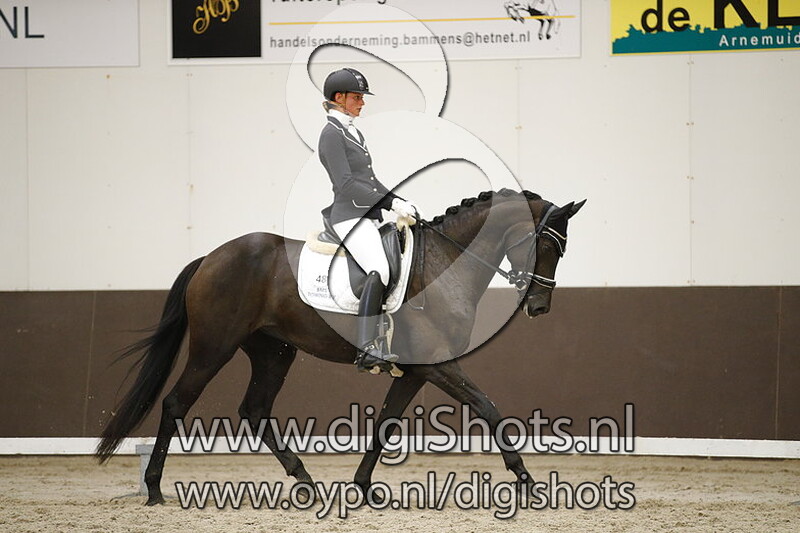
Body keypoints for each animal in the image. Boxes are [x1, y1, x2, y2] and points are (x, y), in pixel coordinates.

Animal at [95, 189, 585, 506]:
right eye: (546, 245)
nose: (539, 306)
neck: (444, 264)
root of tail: (209, 258)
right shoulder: (437, 365)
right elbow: (489, 408)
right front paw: (526, 481)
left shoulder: (415, 371)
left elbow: (386, 422)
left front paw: (363, 487)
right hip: (214, 347)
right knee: (177, 402)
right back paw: (154, 489)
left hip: (273, 352)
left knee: (255, 410)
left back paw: (305, 481)